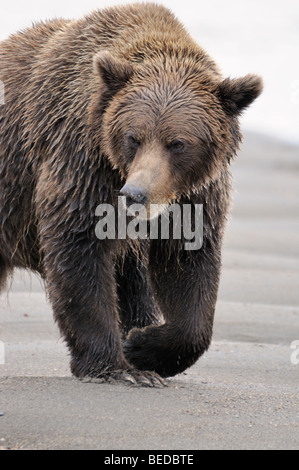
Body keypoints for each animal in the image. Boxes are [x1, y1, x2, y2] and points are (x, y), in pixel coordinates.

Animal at [0, 2, 262, 386]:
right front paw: (115, 366)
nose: (135, 194)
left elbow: (188, 270)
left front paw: (142, 346)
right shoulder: (81, 162)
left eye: (177, 143)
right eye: (133, 137)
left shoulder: (194, 197)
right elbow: (80, 252)